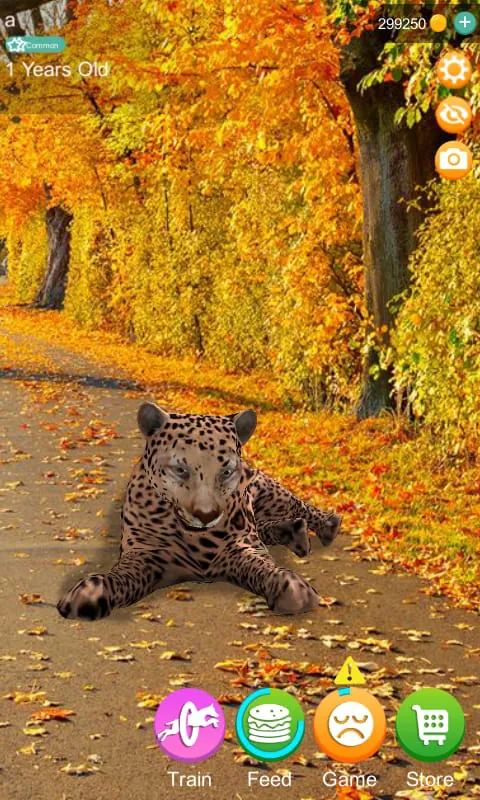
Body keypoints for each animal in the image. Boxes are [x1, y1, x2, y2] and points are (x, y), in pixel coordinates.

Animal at [57, 402, 341, 620]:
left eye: (226, 471)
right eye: (180, 470)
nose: (206, 515)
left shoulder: (241, 548)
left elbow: (264, 567)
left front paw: (292, 588)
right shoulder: (146, 554)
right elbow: (120, 576)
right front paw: (91, 592)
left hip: (270, 492)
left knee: (298, 506)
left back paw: (327, 525)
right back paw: (295, 532)